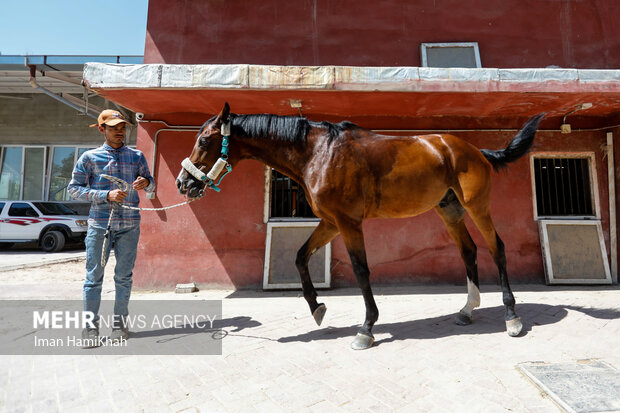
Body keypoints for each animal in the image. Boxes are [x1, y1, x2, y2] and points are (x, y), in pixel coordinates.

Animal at [176, 102, 544, 348]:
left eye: (205, 141)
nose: (183, 183)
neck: (318, 153)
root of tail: (474, 150)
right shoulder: (331, 222)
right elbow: (299, 256)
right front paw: (317, 307)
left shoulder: (349, 223)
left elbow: (361, 269)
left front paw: (366, 328)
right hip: (449, 211)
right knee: (468, 251)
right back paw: (467, 310)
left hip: (477, 207)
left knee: (497, 248)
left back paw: (512, 317)